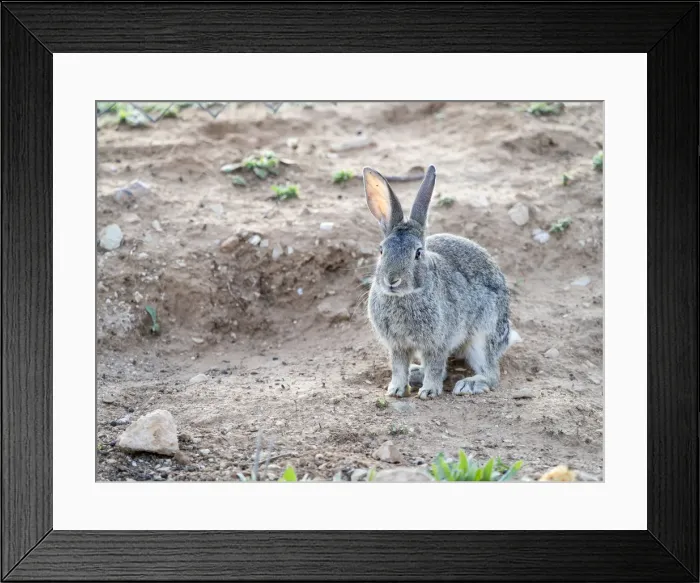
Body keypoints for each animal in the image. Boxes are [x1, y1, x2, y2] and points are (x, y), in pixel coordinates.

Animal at [362, 164, 521, 400]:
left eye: (418, 253)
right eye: (381, 251)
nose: (392, 280)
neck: (406, 296)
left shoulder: (437, 343)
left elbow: (435, 367)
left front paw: (429, 391)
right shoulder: (398, 346)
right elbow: (399, 368)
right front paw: (396, 389)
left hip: (484, 336)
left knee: (492, 374)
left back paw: (469, 384)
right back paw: (415, 372)